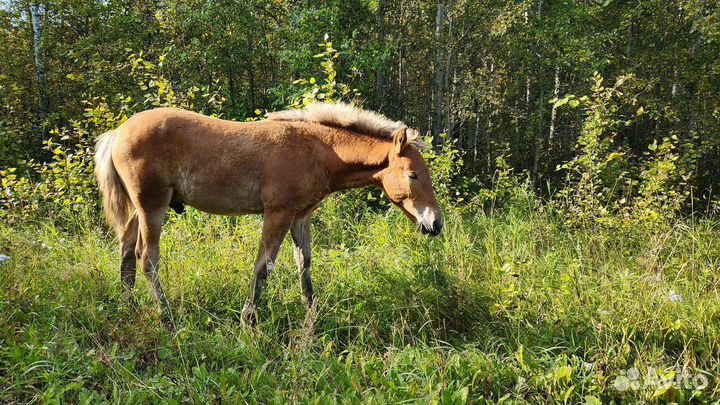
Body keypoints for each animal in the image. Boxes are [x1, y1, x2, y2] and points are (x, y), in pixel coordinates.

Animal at [95, 101, 444, 322]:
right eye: (413, 174)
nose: (435, 223)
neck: (318, 151)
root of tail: (117, 132)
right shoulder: (278, 213)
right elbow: (263, 266)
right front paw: (248, 318)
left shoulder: (301, 216)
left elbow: (304, 263)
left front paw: (311, 312)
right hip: (152, 205)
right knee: (146, 256)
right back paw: (165, 315)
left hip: (140, 208)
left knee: (126, 249)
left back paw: (128, 305)